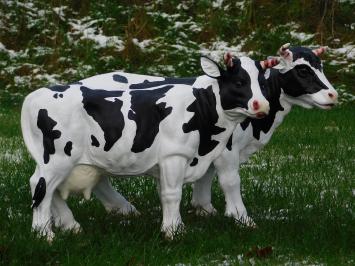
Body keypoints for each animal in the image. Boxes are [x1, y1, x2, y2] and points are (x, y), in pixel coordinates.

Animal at [21, 54, 276, 241]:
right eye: (239, 82)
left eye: (263, 84)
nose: (261, 105)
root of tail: (36, 94)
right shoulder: (174, 155)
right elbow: (174, 193)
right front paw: (175, 231)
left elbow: (168, 193)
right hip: (58, 158)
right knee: (42, 187)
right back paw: (44, 234)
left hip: (54, 160)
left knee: (46, 187)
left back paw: (71, 226)